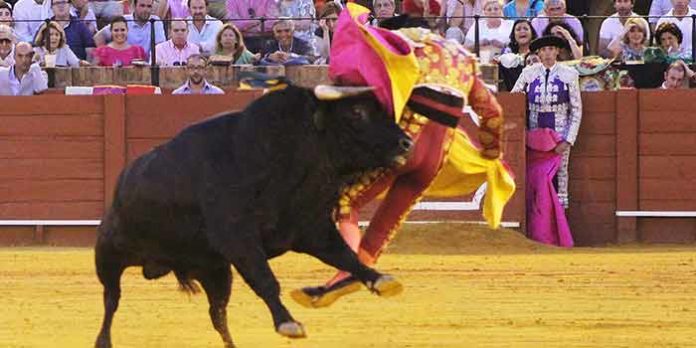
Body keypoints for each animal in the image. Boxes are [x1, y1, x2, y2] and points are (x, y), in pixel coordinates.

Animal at [96, 85, 416, 348]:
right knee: (111, 300)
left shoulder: (311, 229)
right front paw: (288, 323)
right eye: (357, 112)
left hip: (215, 272)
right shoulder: (239, 239)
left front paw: (380, 280)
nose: (407, 143)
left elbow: (348, 257)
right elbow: (266, 279)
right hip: (109, 255)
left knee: (218, 315)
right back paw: (103, 341)